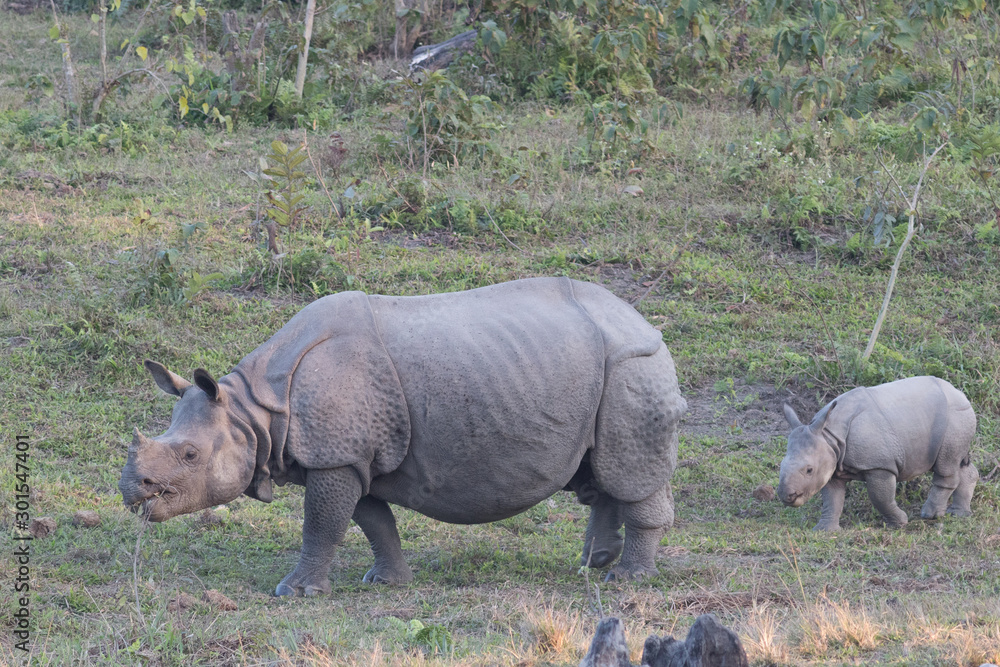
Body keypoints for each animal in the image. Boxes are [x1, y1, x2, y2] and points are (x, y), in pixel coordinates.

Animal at [119, 277, 687, 596]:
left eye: (190, 454)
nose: (131, 491)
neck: (253, 409)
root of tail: (641, 319)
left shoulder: (336, 457)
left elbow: (322, 525)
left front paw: (295, 592)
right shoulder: (355, 457)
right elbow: (372, 521)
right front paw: (386, 582)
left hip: (633, 367)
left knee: (629, 468)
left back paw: (627, 581)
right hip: (592, 372)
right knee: (601, 471)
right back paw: (593, 563)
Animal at [777, 376, 978, 531]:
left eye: (809, 470)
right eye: (780, 466)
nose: (786, 496)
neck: (829, 435)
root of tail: (960, 393)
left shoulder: (879, 465)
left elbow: (880, 497)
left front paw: (900, 523)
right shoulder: (831, 465)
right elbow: (832, 499)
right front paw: (825, 530)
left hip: (955, 416)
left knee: (946, 464)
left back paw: (930, 515)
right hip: (954, 416)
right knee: (960, 462)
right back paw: (959, 514)